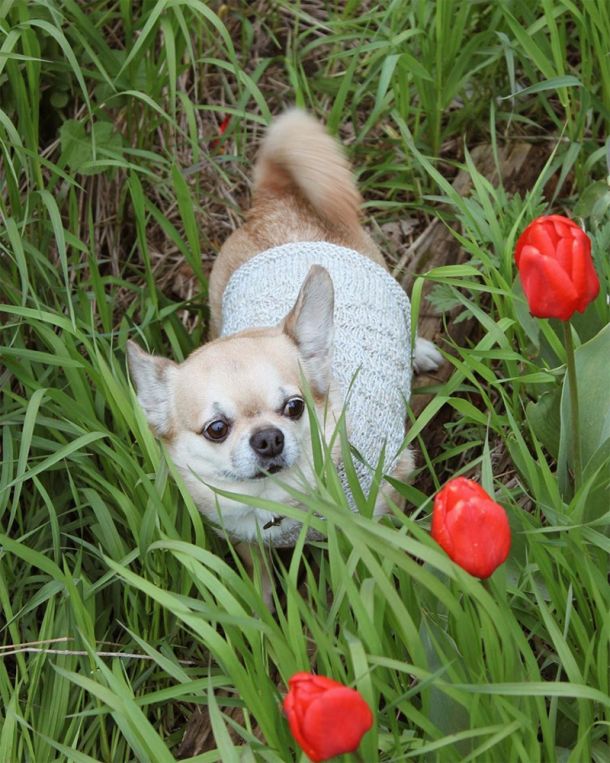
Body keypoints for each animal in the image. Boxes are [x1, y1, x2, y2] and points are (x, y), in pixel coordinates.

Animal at [127, 109, 440, 603]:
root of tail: (277, 201)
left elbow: (380, 565)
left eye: (295, 407)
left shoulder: (391, 490)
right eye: (216, 429)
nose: (268, 438)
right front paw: (262, 611)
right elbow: (260, 580)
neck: (282, 500)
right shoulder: (246, 539)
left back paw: (421, 351)